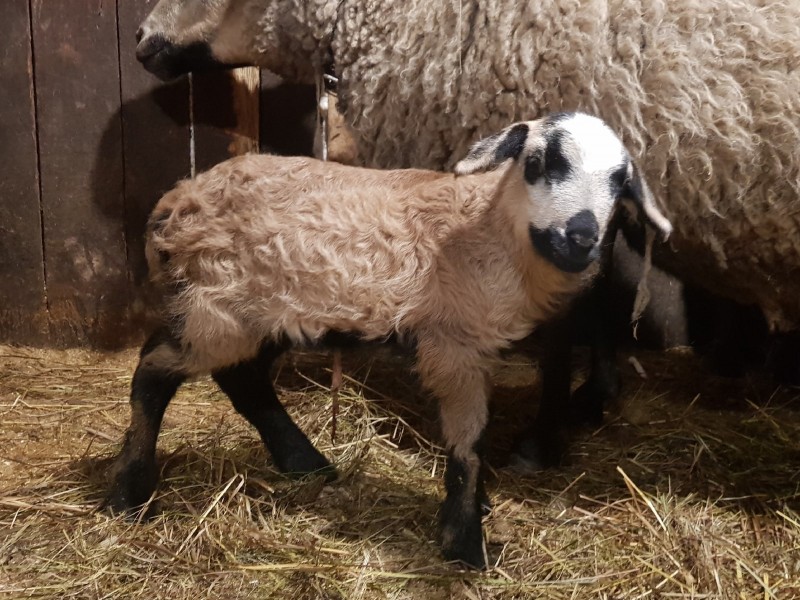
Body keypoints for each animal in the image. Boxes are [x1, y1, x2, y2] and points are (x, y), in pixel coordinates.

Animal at [109, 115, 672, 568]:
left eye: (620, 182)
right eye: (537, 162)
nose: (580, 238)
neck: (490, 229)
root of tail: (173, 204)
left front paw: (473, 513)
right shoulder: (453, 344)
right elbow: (469, 442)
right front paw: (464, 542)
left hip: (262, 314)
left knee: (241, 379)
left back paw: (304, 462)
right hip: (215, 303)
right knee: (154, 370)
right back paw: (129, 493)